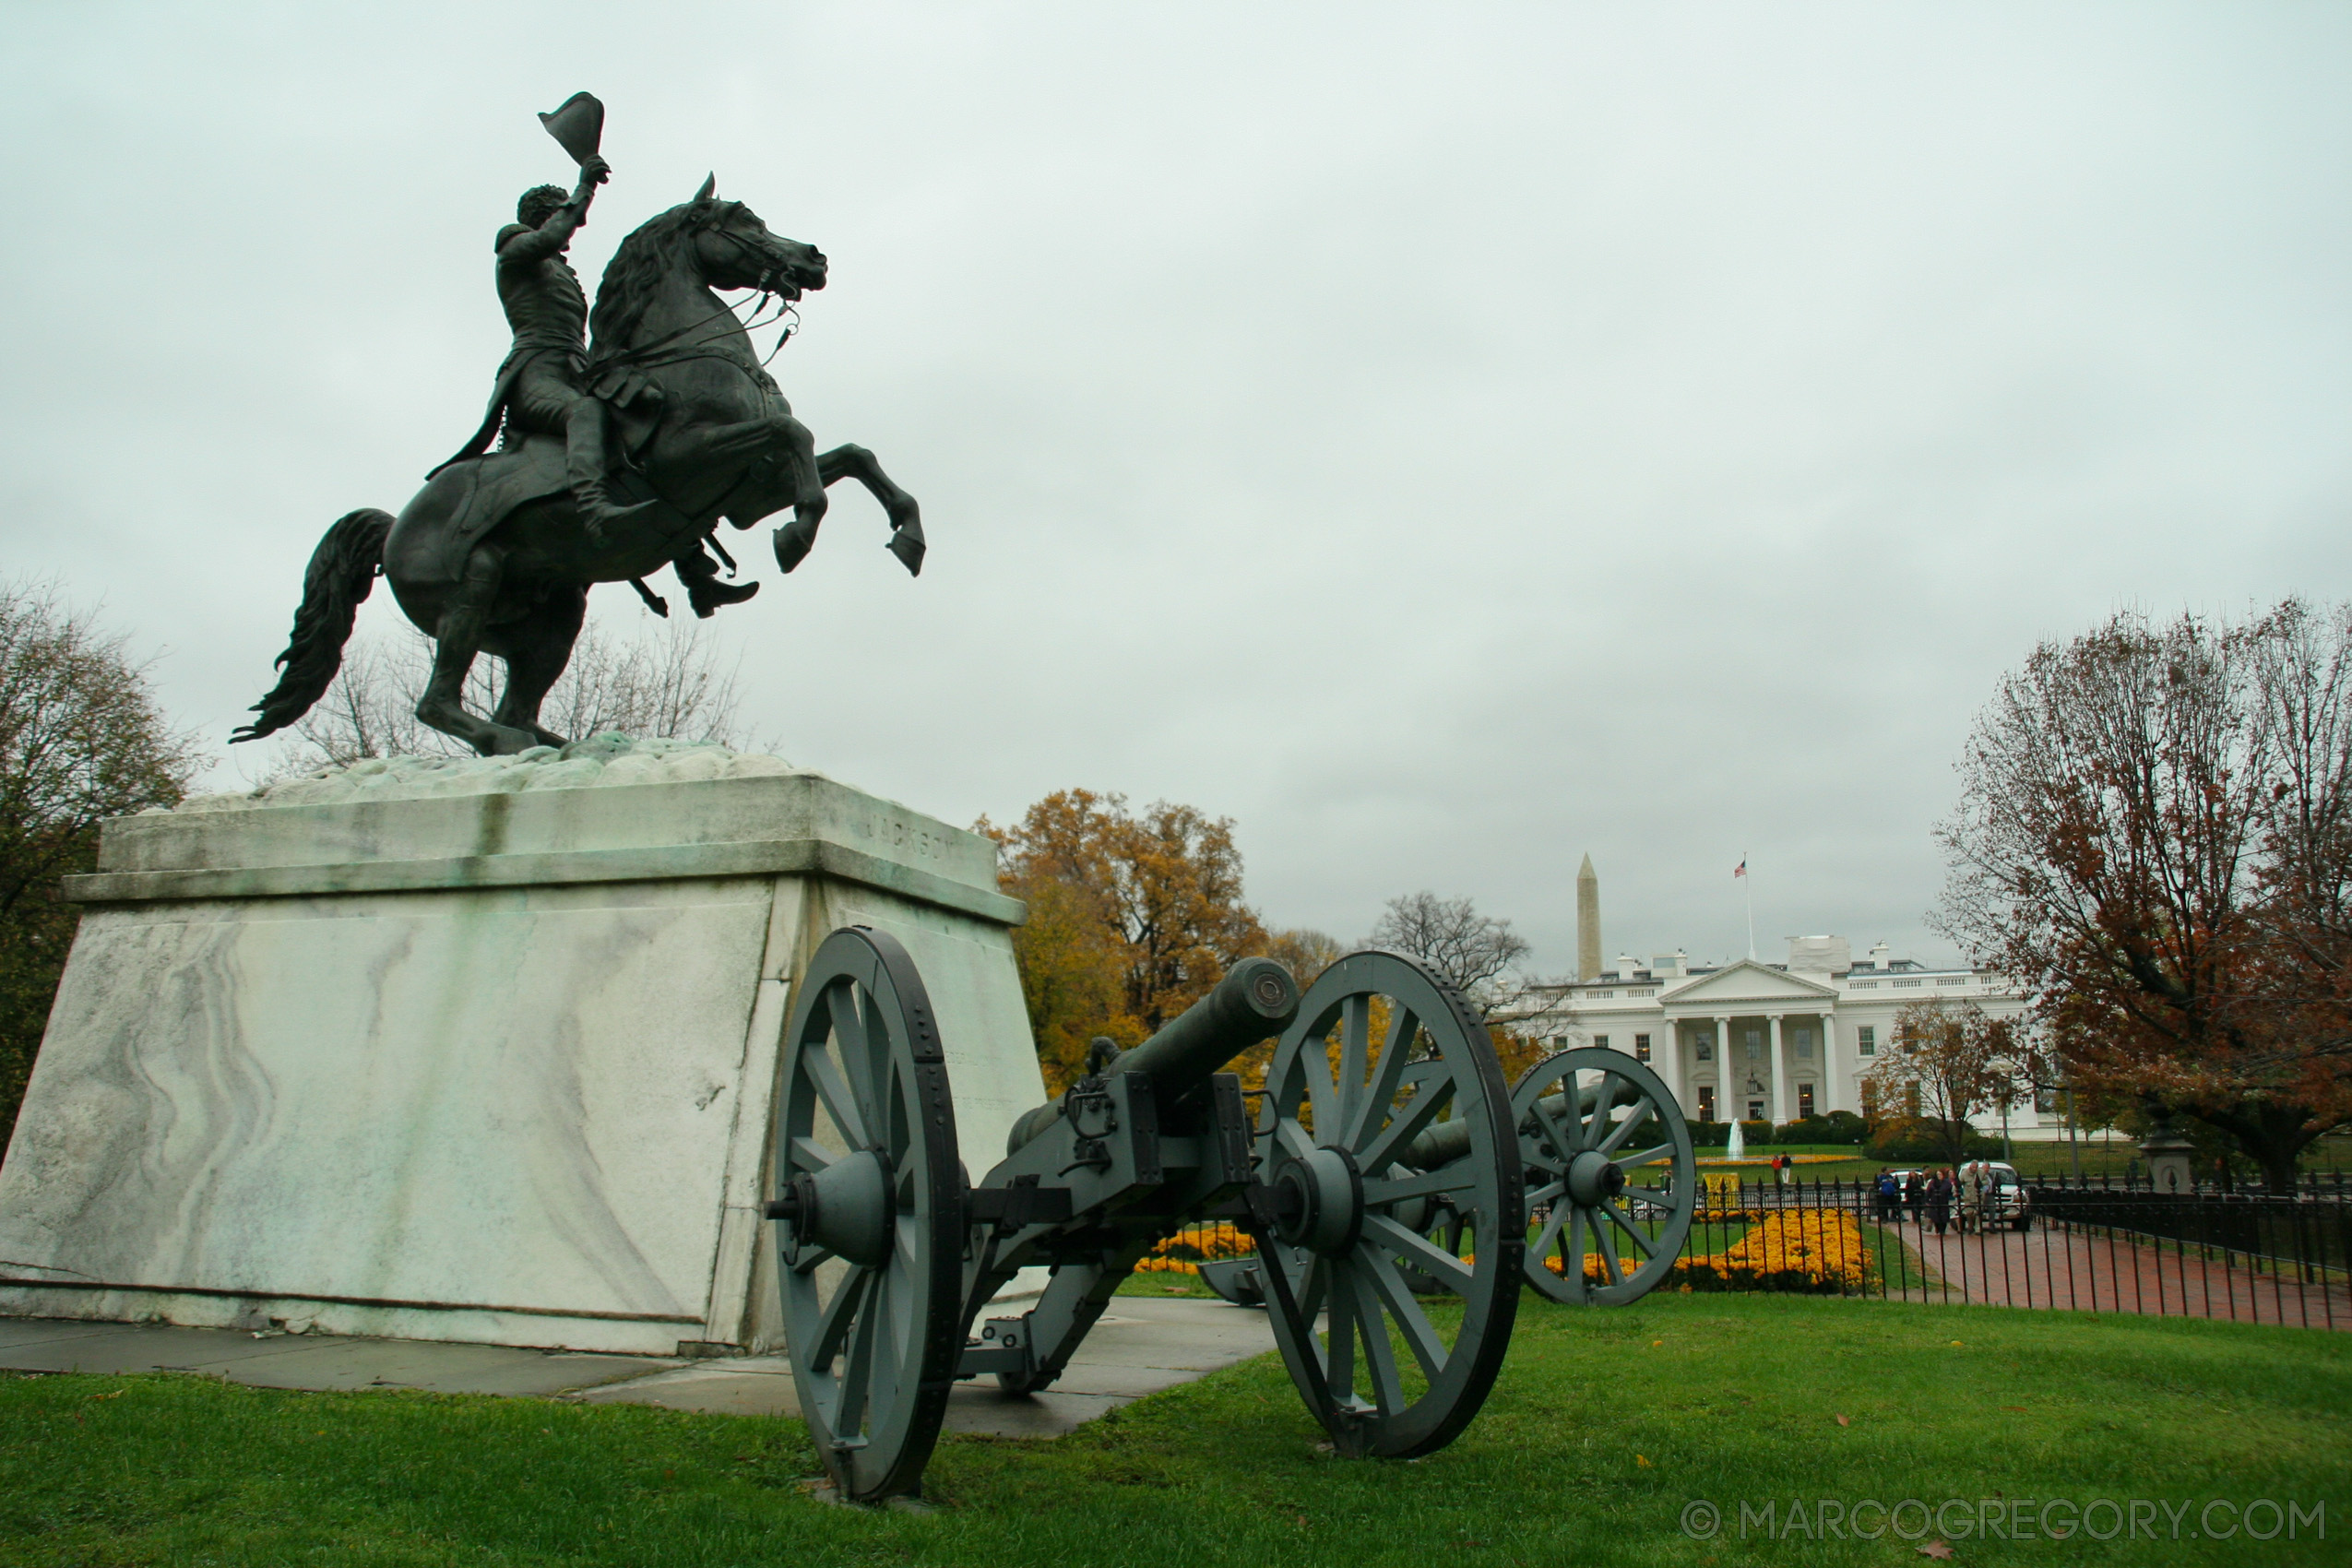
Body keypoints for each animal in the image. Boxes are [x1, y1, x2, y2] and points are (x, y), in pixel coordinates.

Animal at [233, 174, 917, 756]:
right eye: (745, 219)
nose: (814, 259)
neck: (683, 358)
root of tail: (394, 525)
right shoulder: (694, 463)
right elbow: (795, 434)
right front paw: (796, 535)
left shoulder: (748, 491)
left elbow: (852, 455)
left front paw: (908, 535)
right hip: (471, 587)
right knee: (440, 704)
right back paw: (515, 743)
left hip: (554, 618)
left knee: (516, 704)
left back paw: (575, 746)